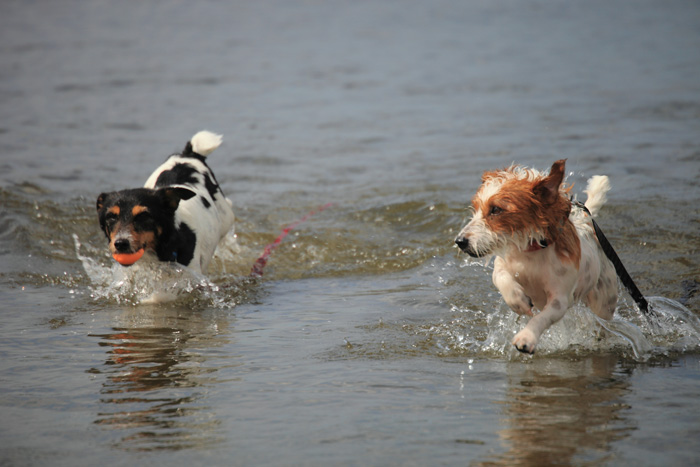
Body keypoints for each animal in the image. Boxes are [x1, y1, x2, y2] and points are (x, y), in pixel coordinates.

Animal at [456, 161, 616, 354]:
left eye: (495, 209)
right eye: (476, 208)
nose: (460, 241)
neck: (530, 253)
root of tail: (585, 223)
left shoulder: (559, 299)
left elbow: (541, 318)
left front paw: (527, 337)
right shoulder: (503, 265)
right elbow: (501, 278)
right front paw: (518, 301)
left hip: (604, 301)